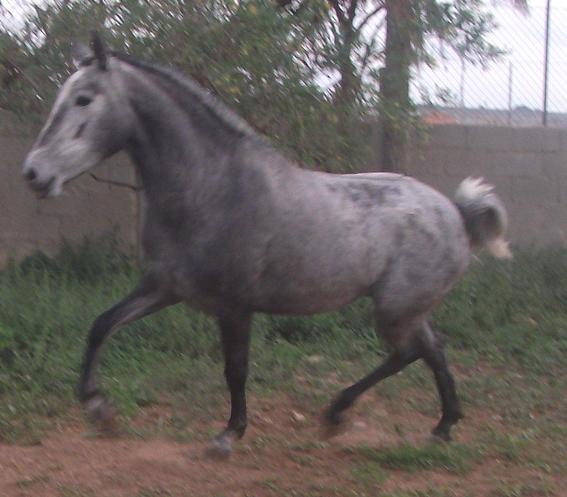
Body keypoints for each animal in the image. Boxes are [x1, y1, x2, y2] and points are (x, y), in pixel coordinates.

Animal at [21, 33, 510, 456]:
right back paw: (440, 426)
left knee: (410, 352)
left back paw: (339, 415)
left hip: (394, 309)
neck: (212, 188)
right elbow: (101, 325)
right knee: (432, 349)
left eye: (84, 99)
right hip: (407, 308)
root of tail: (456, 212)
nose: (34, 173)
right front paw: (99, 410)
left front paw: (227, 436)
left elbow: (235, 370)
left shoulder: (235, 306)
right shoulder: (163, 288)